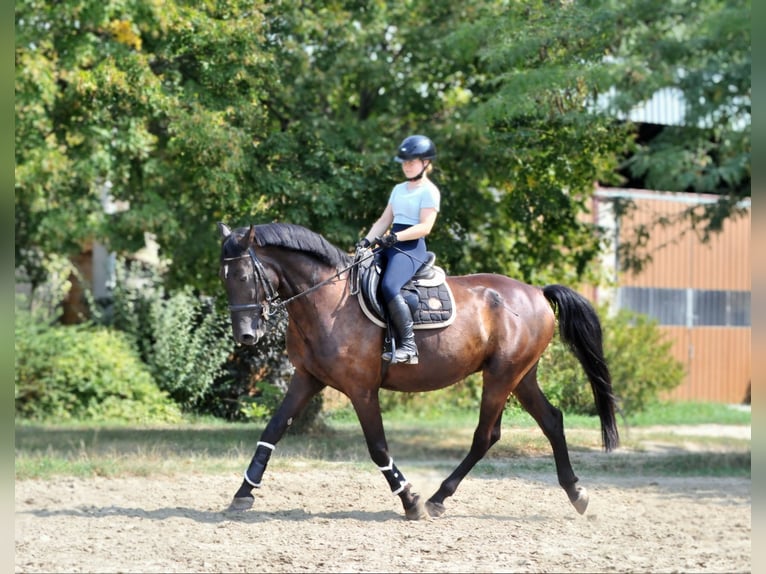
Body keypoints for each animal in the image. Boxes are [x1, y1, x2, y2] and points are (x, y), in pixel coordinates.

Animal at [216, 222, 616, 520]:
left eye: (244, 276)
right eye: (224, 278)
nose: (246, 335)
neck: (324, 300)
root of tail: (536, 292)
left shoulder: (361, 389)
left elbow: (378, 447)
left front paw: (410, 500)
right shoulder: (306, 379)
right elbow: (272, 431)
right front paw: (243, 493)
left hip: (502, 376)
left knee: (486, 436)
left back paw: (438, 498)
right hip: (522, 377)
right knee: (551, 421)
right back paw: (577, 495)